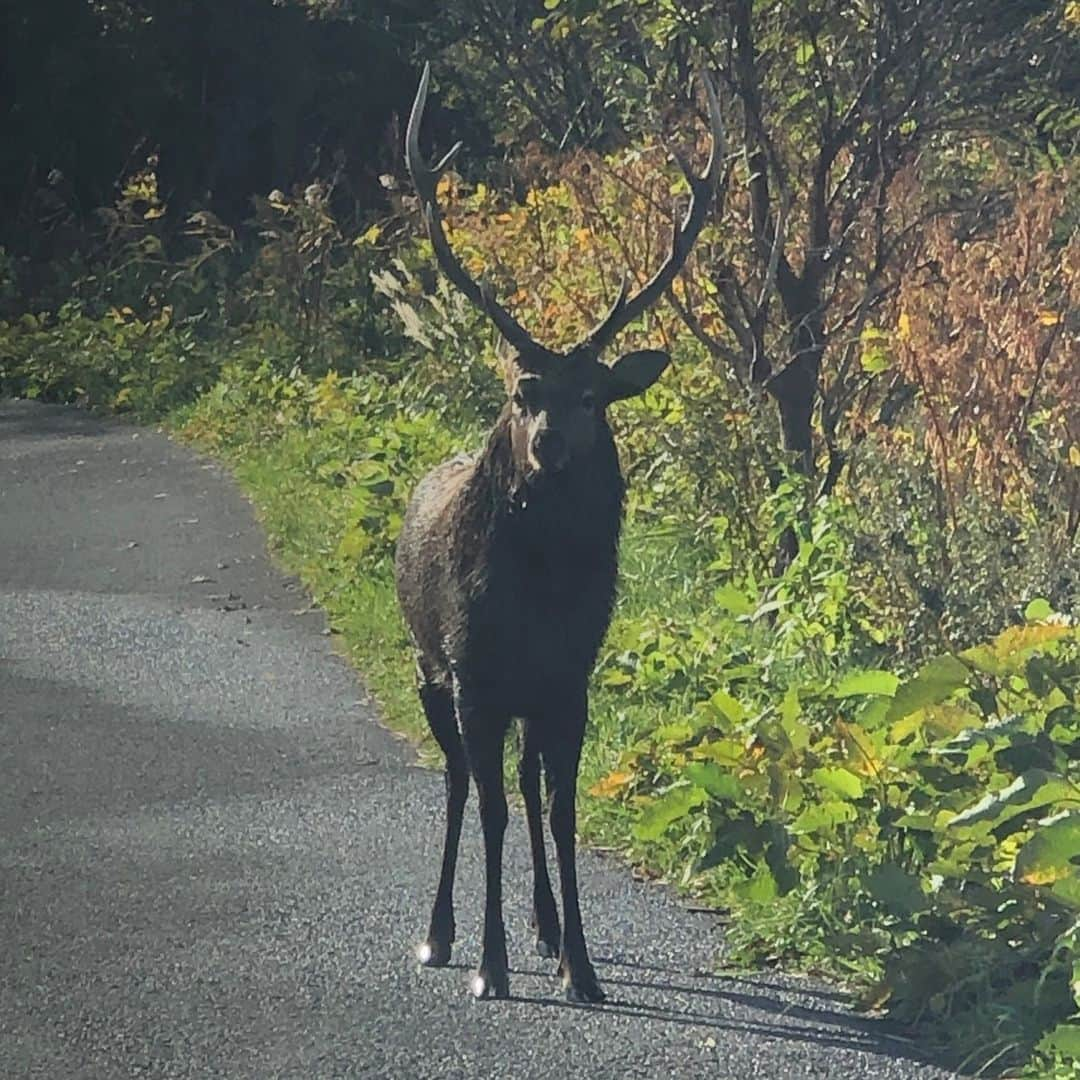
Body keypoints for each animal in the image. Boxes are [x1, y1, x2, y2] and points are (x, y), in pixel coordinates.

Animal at [397, 61, 725, 1002]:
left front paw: (580, 963)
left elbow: (562, 808)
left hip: (527, 703)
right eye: (523, 391)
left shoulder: (570, 680)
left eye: (593, 396)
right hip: (430, 672)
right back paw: (441, 934)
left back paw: (544, 928)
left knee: (524, 778)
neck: (538, 600)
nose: (547, 447)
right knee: (461, 786)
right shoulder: (474, 676)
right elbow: (494, 809)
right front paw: (489, 964)